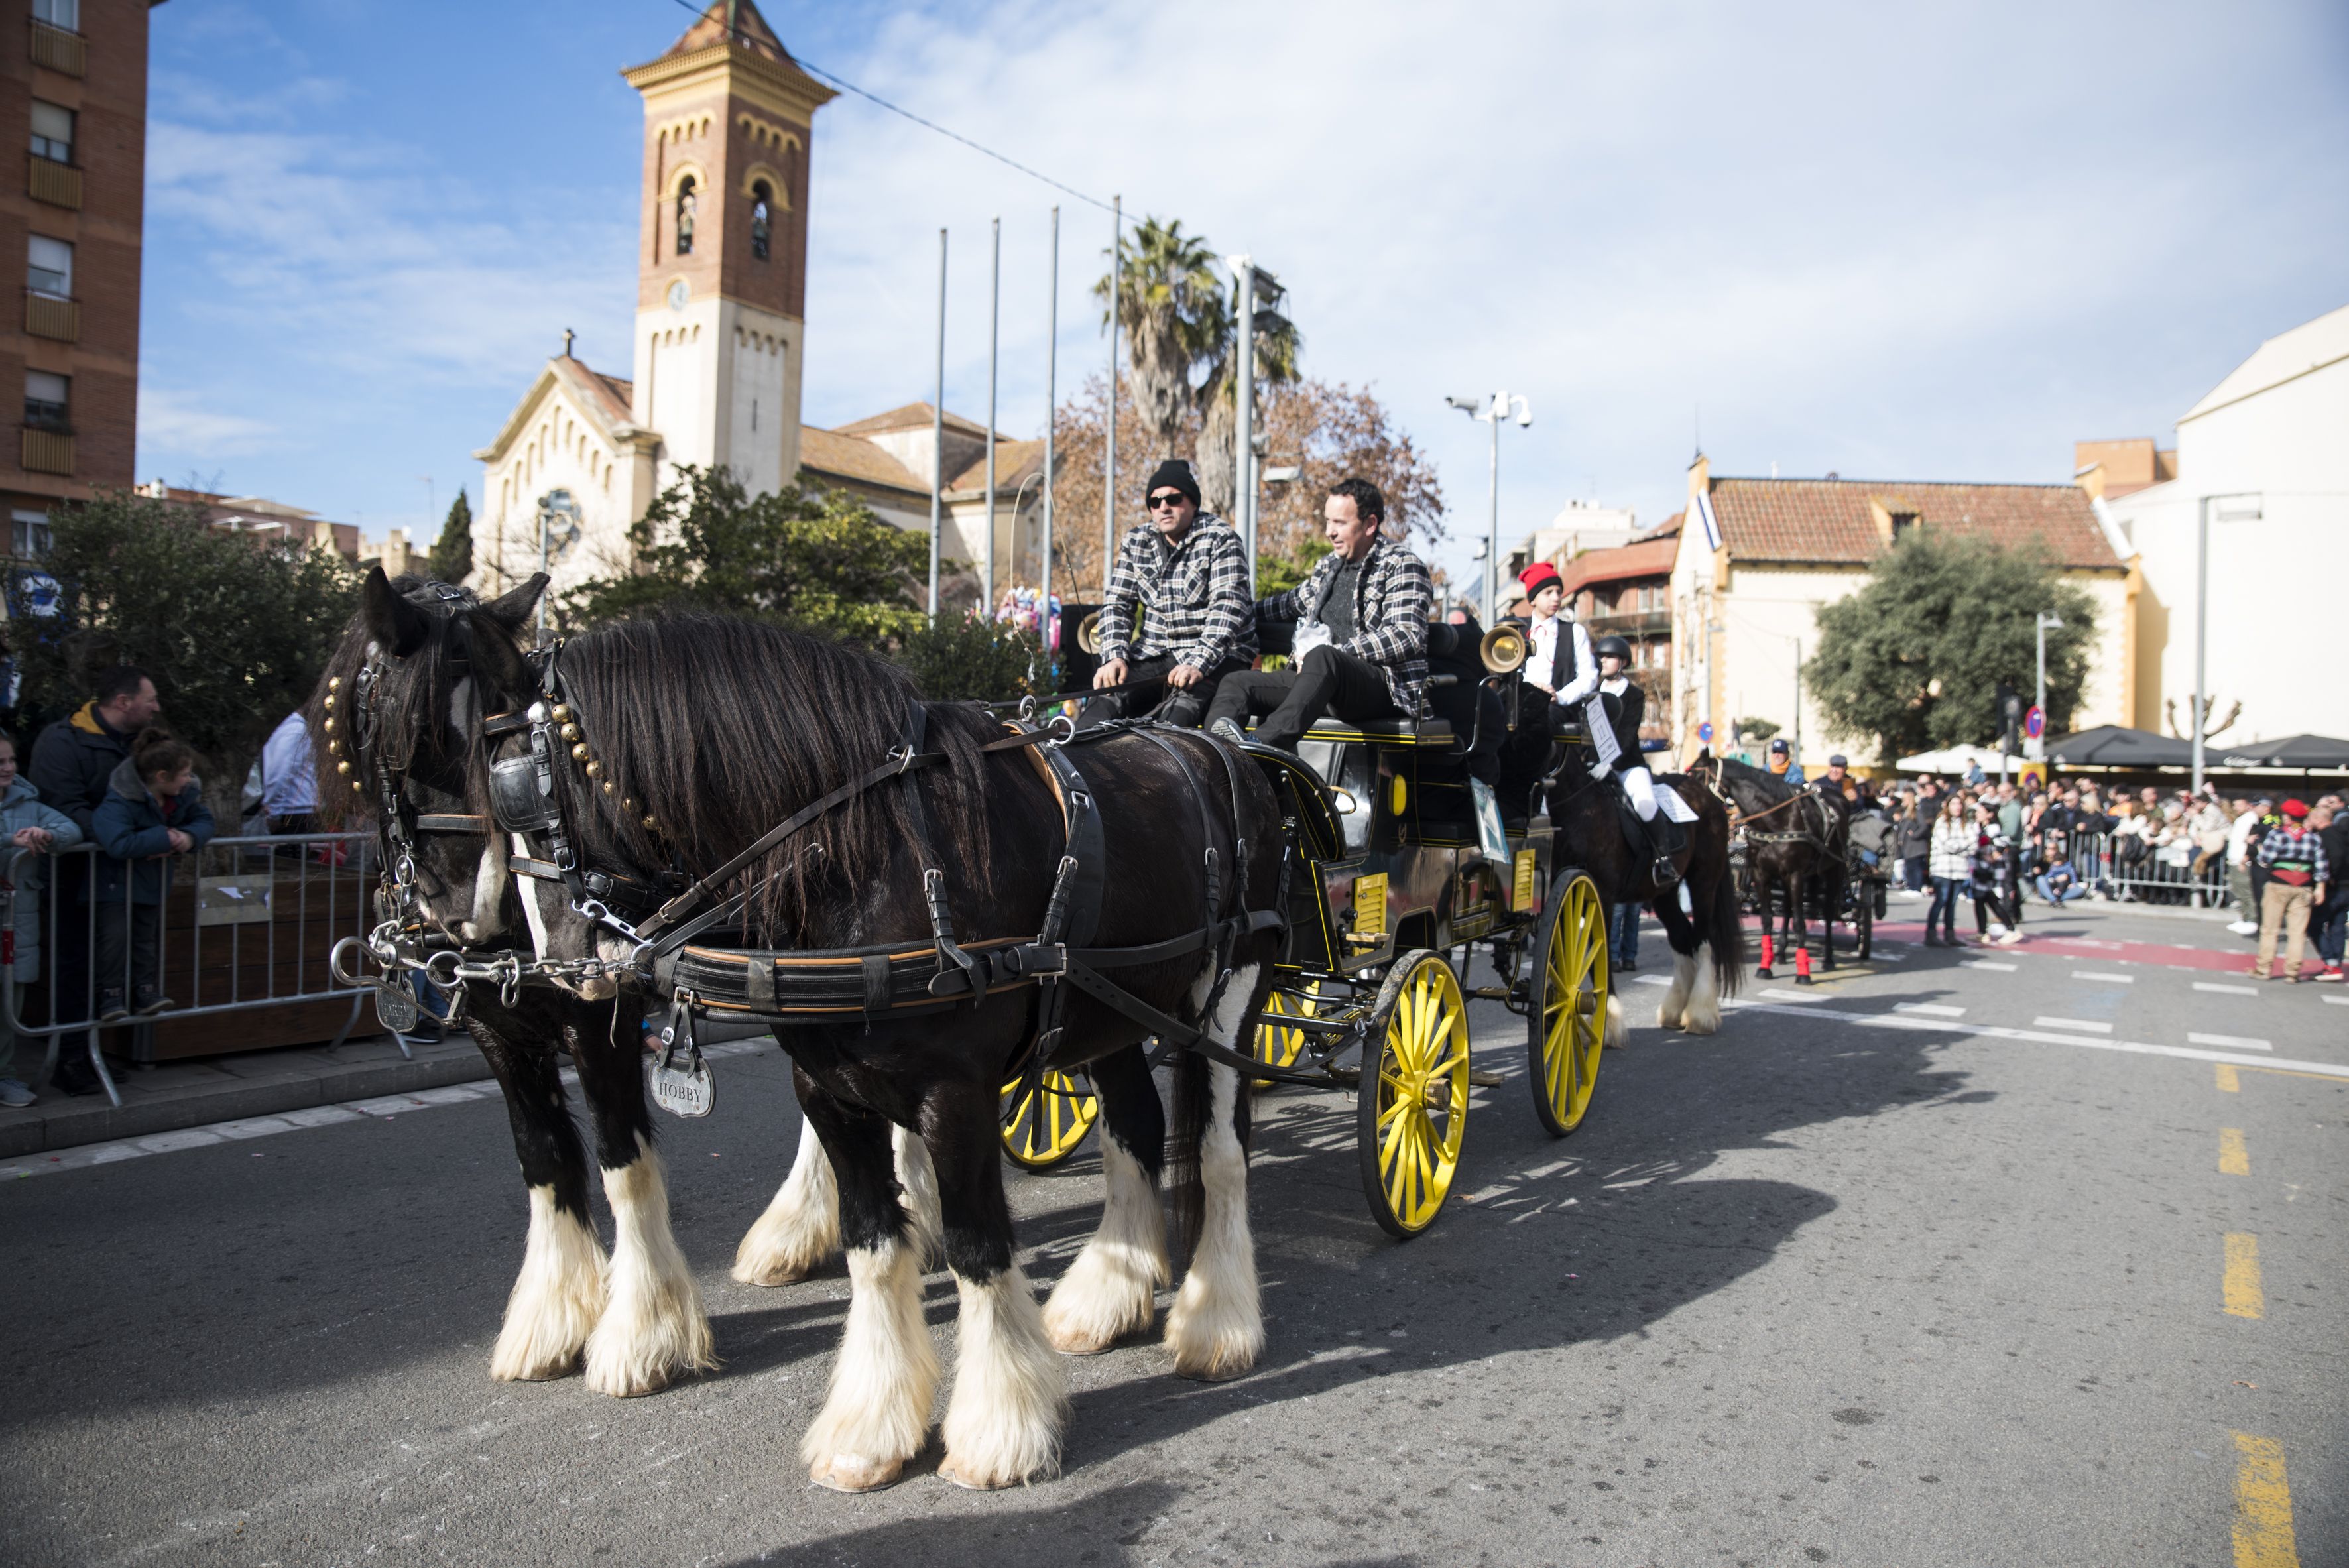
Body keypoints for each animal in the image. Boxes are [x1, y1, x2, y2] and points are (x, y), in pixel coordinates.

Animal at [312, 572, 1287, 1492]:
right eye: (403, 746)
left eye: (513, 783)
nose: (563, 964)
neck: (878, 852)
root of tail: (1220, 749)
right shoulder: (812, 1079)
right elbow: (868, 1243)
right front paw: (870, 1426)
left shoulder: (952, 1092)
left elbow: (978, 1244)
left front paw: (999, 1429)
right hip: (1109, 1007)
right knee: (1135, 1129)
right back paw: (1106, 1293)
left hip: (1230, 989)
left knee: (1220, 1148)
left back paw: (1215, 1320)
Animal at [1541, 751, 1747, 1032]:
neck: (1580, 810)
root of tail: (1710, 799)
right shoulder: (1563, 896)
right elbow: (1557, 955)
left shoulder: (1601, 897)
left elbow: (1599, 957)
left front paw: (1610, 1022)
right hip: (1664, 895)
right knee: (1682, 937)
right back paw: (1674, 1011)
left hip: (1703, 884)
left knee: (1703, 941)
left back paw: (1700, 1015)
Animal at [1691, 751, 1850, 971]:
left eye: (1696, 777)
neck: (1777, 819)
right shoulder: (1762, 873)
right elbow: (1768, 919)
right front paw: (1765, 966)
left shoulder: (1795, 874)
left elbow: (1800, 922)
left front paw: (1803, 971)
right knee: (1788, 909)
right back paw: (1782, 951)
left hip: (1834, 870)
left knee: (1827, 912)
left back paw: (1828, 958)